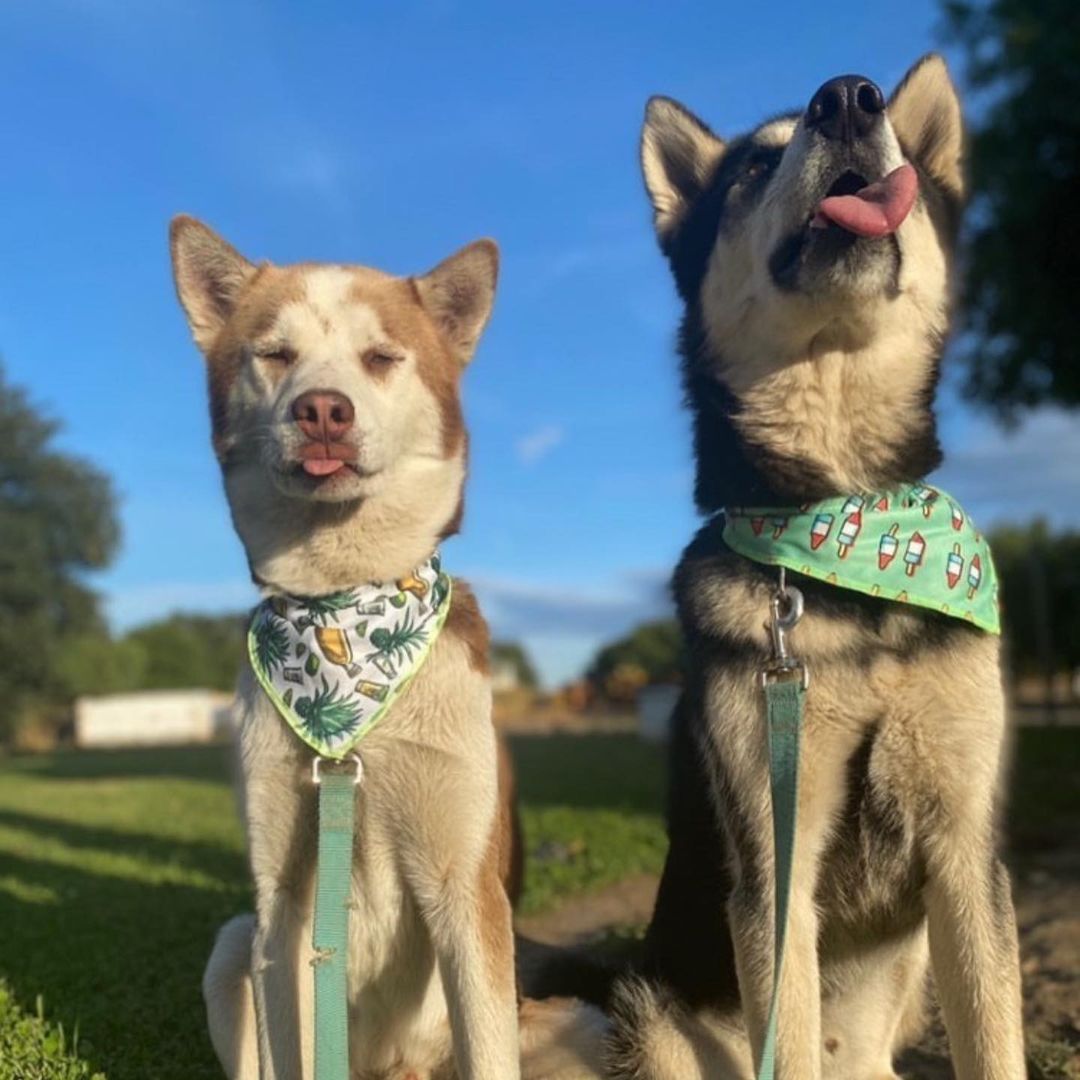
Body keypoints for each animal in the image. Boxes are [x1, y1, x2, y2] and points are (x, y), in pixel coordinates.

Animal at [170, 219, 609, 1080]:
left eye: (380, 357)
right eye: (275, 353)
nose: (323, 411)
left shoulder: (465, 887)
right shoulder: (279, 905)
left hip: (577, 1024)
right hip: (232, 945)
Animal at [604, 56, 1023, 1080]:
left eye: (898, 141)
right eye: (756, 166)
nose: (848, 98)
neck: (847, 539)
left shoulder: (967, 851)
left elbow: (995, 1039)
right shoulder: (772, 862)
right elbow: (784, 1040)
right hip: (648, 1015)